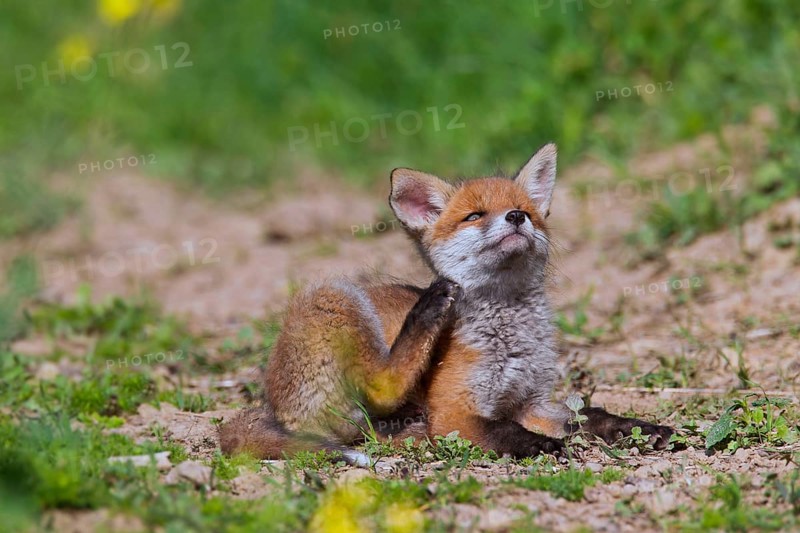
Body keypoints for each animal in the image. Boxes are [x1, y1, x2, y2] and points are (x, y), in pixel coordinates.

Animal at [218, 143, 674, 460]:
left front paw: (636, 427)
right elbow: (503, 431)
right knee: (381, 387)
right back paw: (426, 313)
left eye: (525, 210)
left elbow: (588, 415)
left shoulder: (532, 402)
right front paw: (541, 447)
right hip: (335, 295)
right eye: (475, 215)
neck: (511, 338)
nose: (516, 218)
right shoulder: (455, 410)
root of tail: (269, 402)